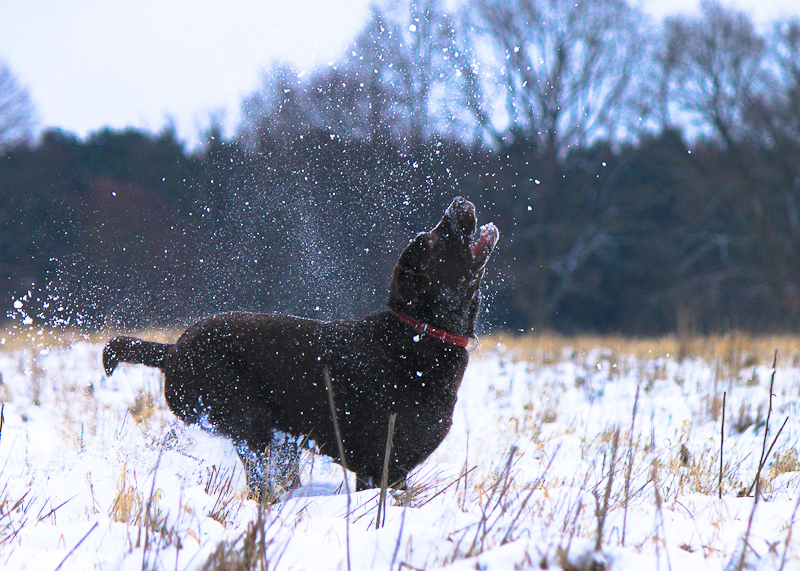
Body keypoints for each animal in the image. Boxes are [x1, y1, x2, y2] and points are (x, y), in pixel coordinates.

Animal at [103, 197, 496, 492]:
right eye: (432, 240)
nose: (456, 203)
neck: (418, 334)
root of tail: (171, 351)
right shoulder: (380, 464)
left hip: (280, 438)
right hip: (249, 422)